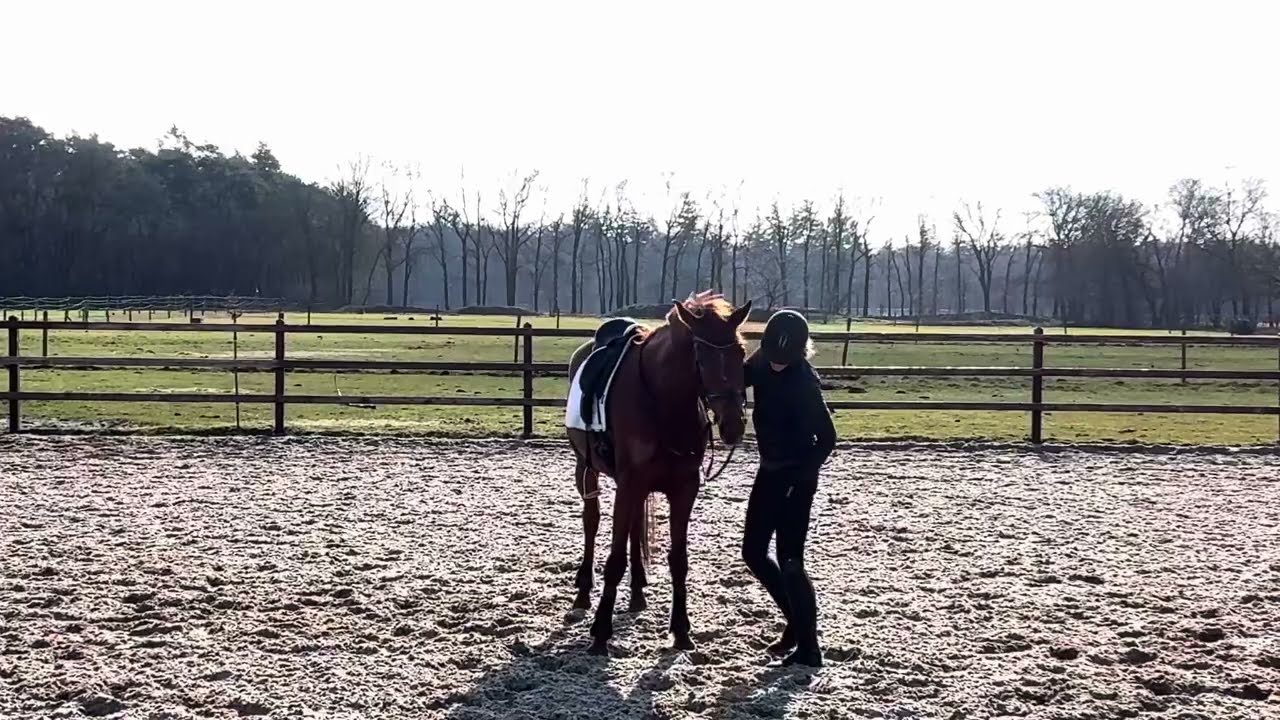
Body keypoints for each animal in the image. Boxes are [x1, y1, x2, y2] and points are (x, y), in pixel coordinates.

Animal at [566, 292, 751, 655]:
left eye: (740, 352)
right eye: (701, 357)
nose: (733, 425)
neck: (663, 404)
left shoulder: (683, 489)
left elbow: (678, 560)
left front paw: (681, 630)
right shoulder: (628, 485)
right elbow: (613, 560)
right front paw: (600, 632)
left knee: (634, 527)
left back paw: (638, 591)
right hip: (587, 468)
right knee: (591, 522)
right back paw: (583, 592)